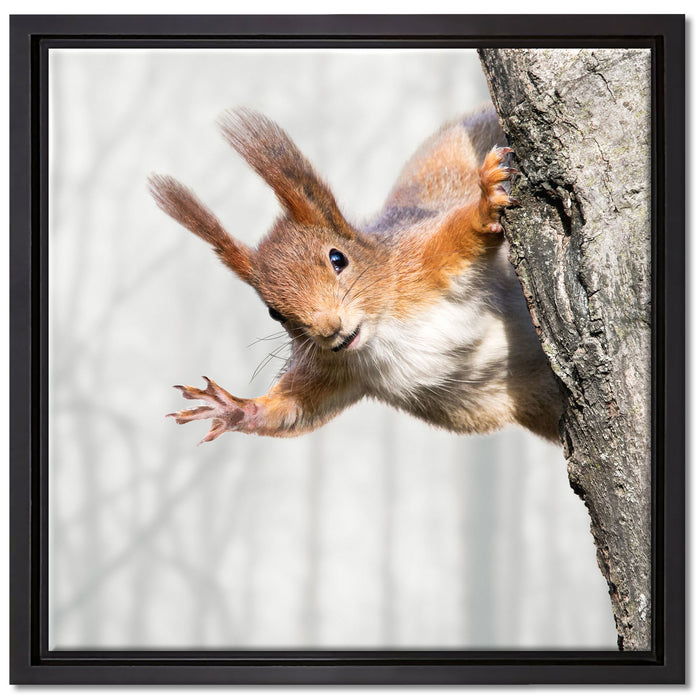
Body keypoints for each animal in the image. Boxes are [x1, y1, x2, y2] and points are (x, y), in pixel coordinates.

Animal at [149, 105, 564, 444]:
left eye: (338, 259)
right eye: (274, 313)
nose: (329, 329)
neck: (382, 331)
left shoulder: (420, 261)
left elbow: (460, 233)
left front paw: (485, 203)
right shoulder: (335, 370)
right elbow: (294, 410)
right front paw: (234, 408)